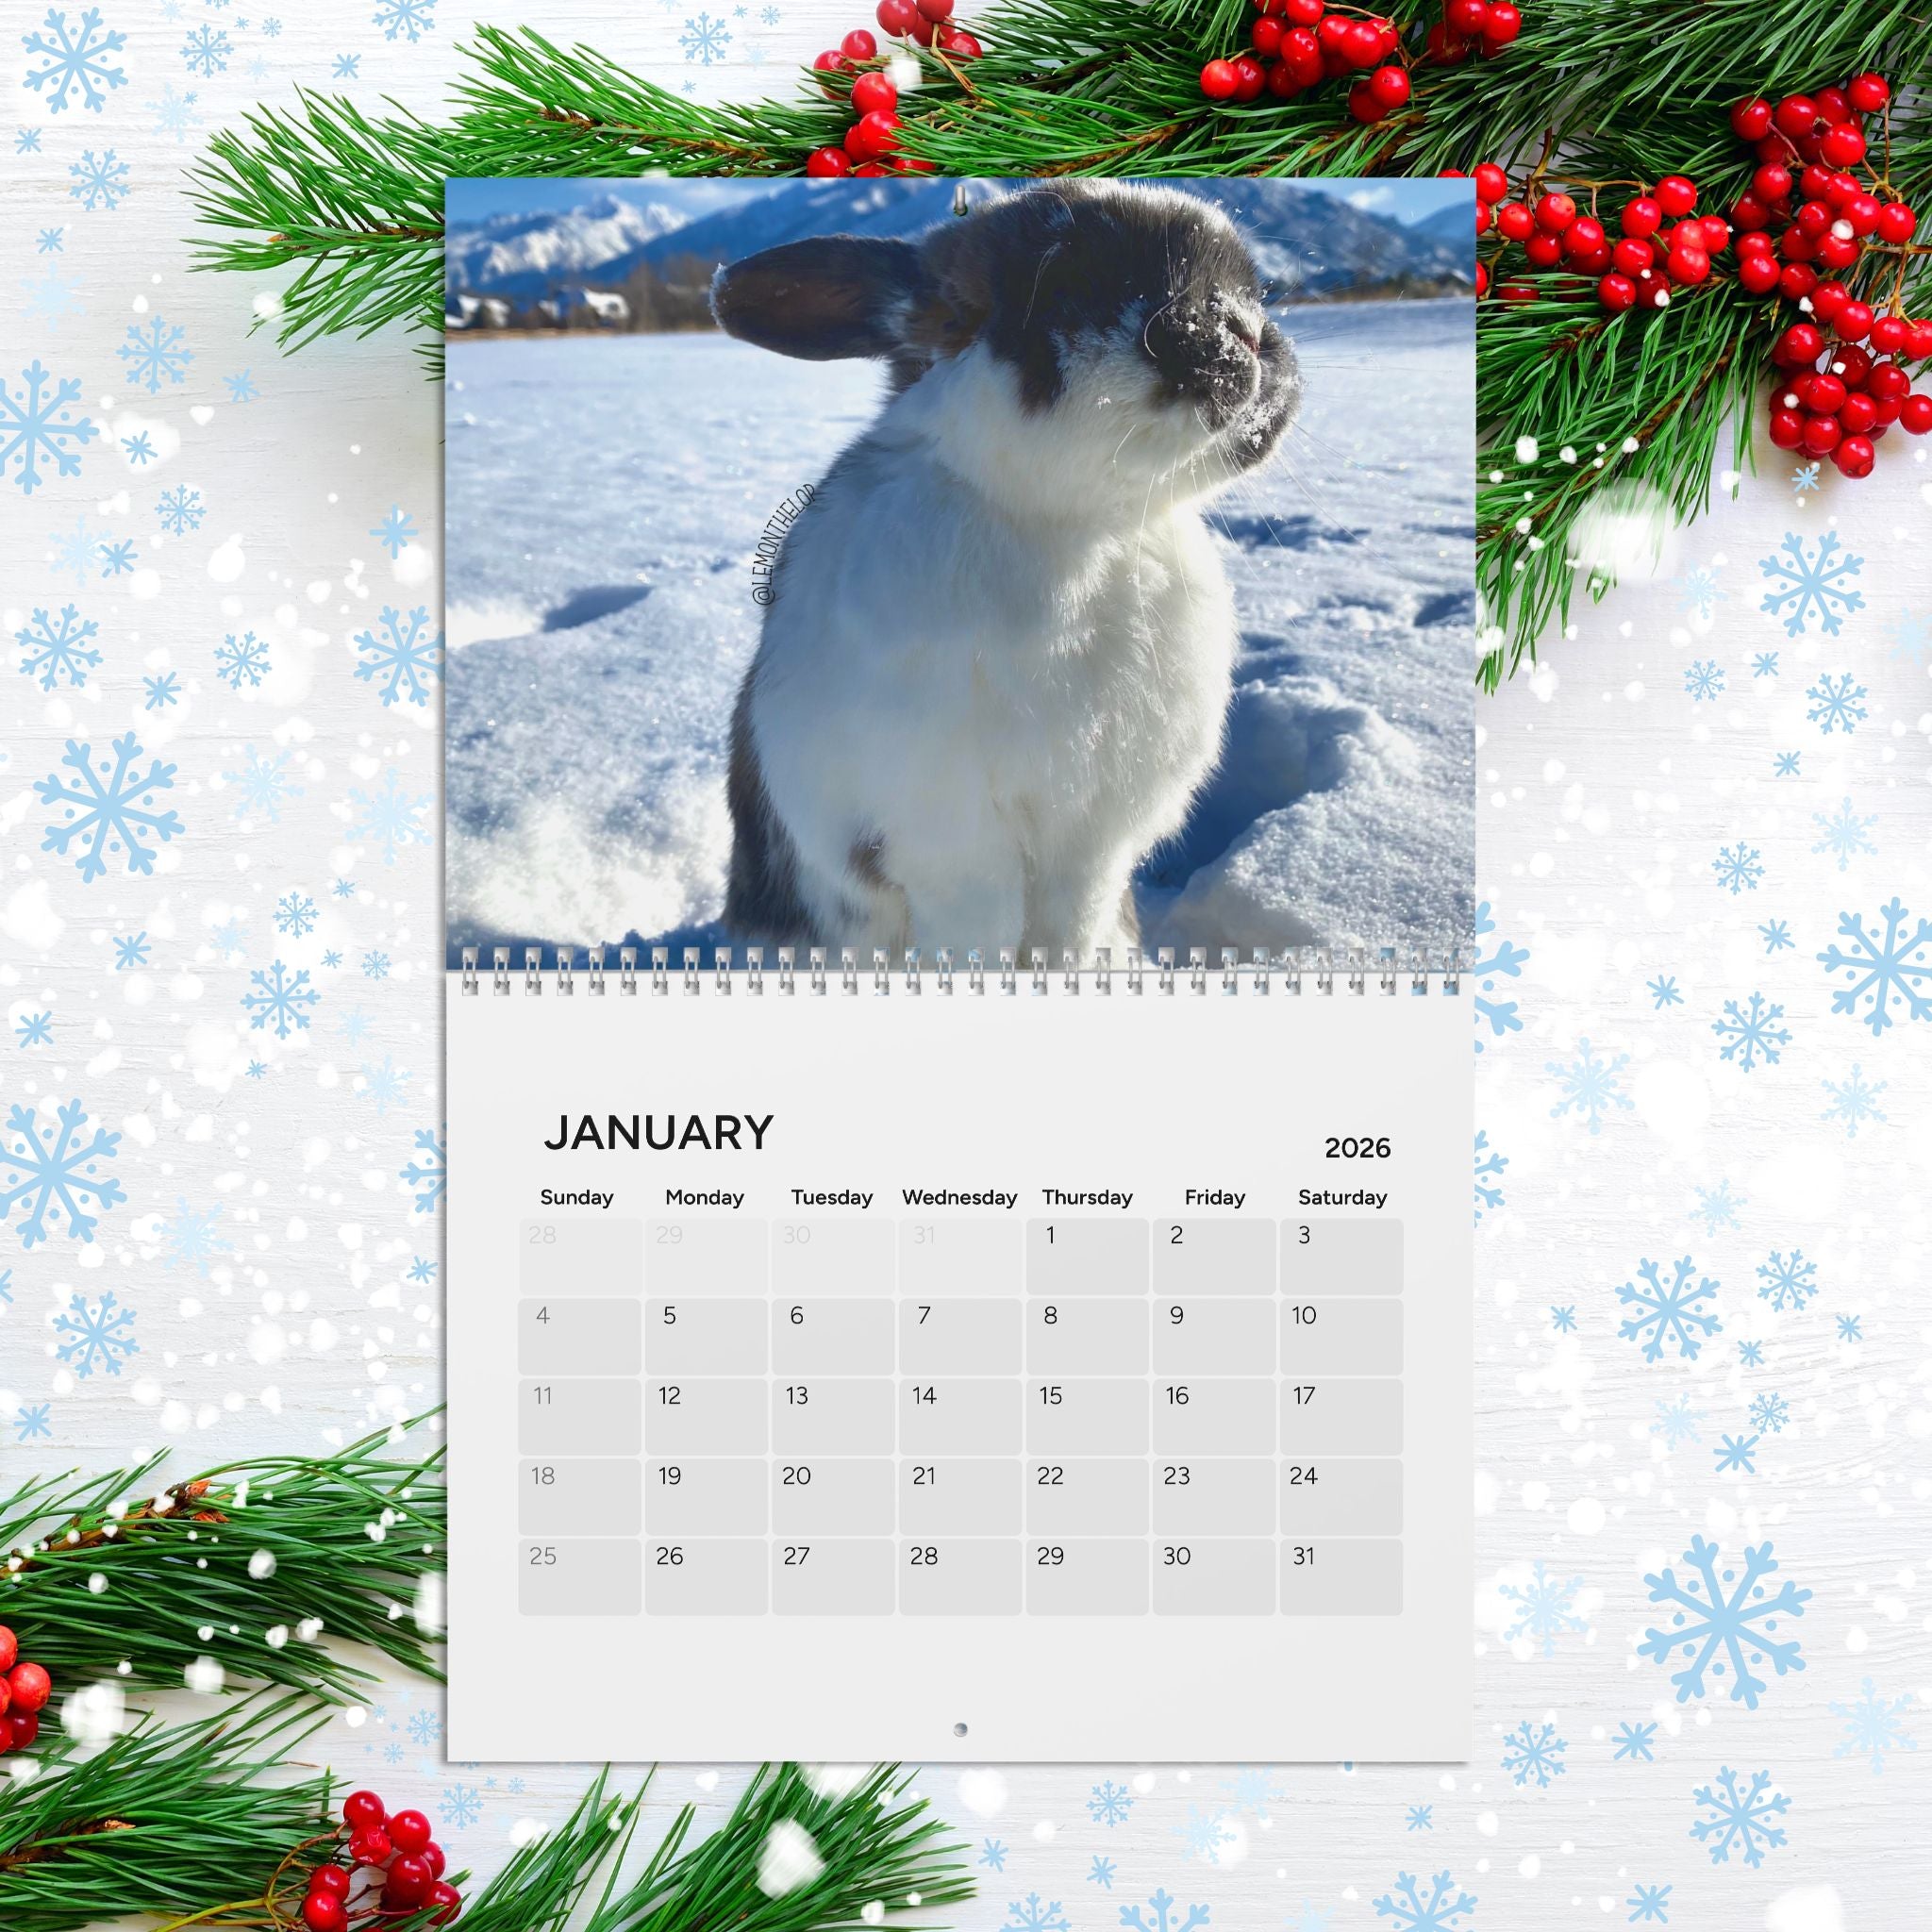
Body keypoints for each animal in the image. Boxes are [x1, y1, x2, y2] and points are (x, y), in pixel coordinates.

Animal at [710, 180, 1300, 961]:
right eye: (1063, 278)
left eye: (1254, 289)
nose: (1247, 331)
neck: (1082, 529)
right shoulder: (954, 846)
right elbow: (979, 939)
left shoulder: (1092, 847)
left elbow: (1069, 930)